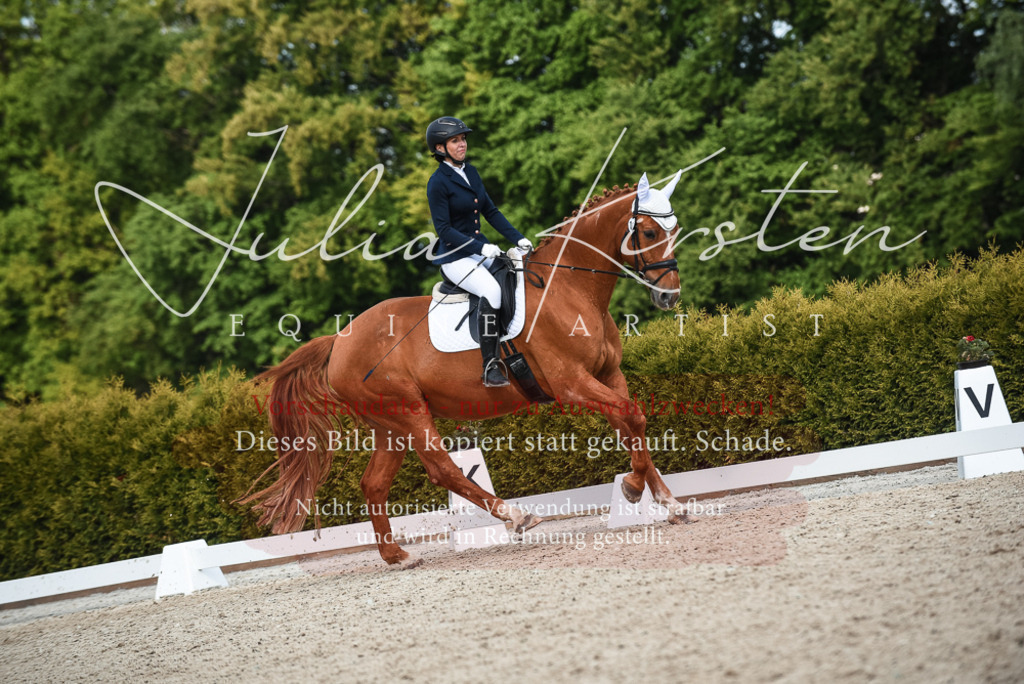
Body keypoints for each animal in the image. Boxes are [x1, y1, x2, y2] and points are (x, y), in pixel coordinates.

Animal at [240, 171, 691, 567]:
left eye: (675, 229)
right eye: (650, 233)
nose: (669, 297)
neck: (569, 288)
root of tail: (339, 341)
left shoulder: (609, 376)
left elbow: (632, 424)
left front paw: (667, 502)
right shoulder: (573, 384)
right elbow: (631, 416)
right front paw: (632, 489)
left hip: (389, 424)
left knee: (374, 484)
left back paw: (398, 556)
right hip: (408, 412)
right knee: (444, 469)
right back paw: (514, 516)